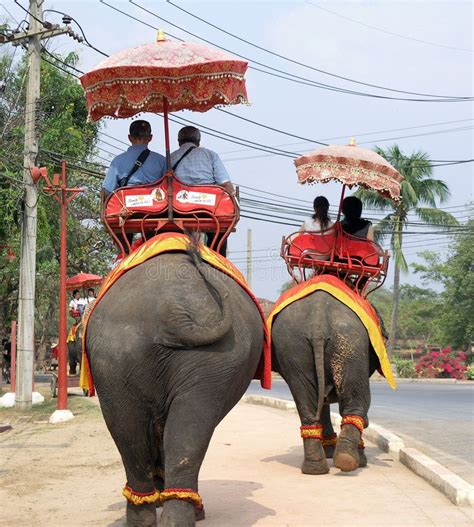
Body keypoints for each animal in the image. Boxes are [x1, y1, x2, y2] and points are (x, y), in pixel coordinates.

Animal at [270, 290, 382, 476]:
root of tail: (318, 324)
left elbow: (321, 401)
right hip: (350, 343)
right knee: (357, 401)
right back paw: (348, 461)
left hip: (292, 347)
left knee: (307, 400)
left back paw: (315, 468)